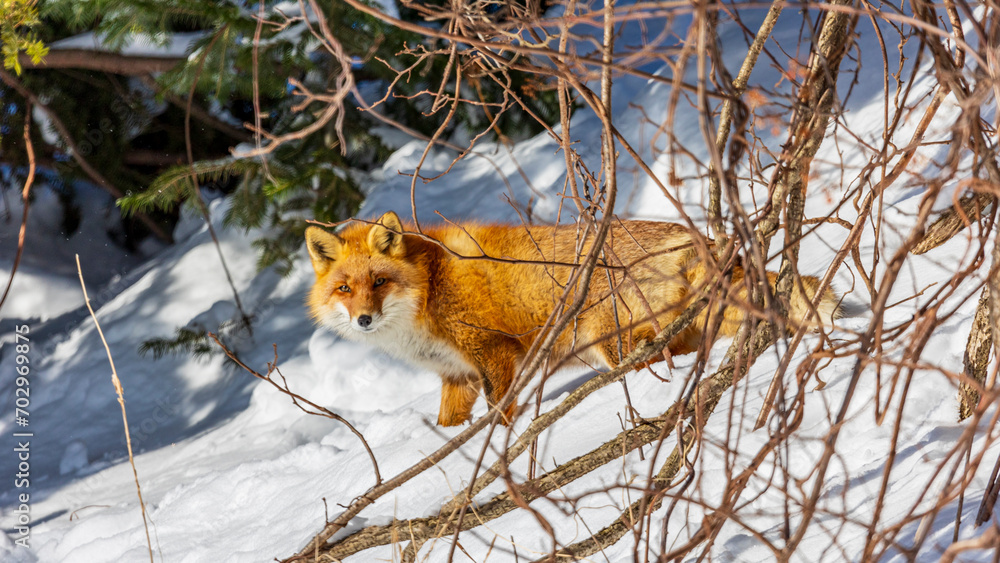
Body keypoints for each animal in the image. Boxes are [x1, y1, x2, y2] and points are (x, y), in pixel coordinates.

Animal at [305, 211, 839, 427]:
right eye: (345, 289)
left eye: (379, 282)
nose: (364, 320)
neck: (429, 289)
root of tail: (698, 237)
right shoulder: (456, 376)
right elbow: (450, 425)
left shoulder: (495, 354)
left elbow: (500, 414)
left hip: (610, 340)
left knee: (660, 363)